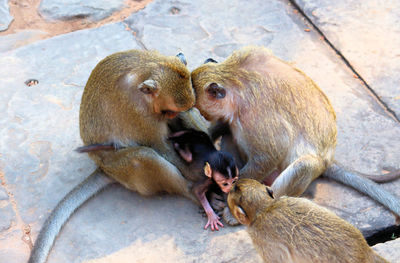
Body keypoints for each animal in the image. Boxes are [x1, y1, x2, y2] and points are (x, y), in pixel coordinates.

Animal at [28, 50, 206, 263]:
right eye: (168, 110)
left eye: (175, 111)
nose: (171, 117)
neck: (150, 66)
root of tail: (103, 167)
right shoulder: (137, 112)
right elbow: (159, 146)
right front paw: (199, 172)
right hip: (119, 167)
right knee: (143, 156)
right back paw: (192, 191)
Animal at [191, 45, 400, 223]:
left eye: (201, 109)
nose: (205, 116)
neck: (234, 76)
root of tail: (329, 159)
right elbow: (227, 125)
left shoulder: (258, 116)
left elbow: (269, 155)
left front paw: (222, 193)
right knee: (231, 133)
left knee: (303, 166)